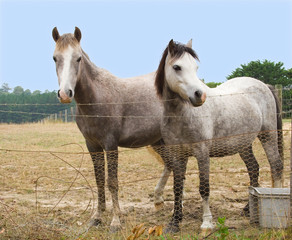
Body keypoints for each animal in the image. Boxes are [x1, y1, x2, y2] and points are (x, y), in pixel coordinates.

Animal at [51, 26, 172, 231]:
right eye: (55, 58)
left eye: (78, 58)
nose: (65, 94)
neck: (96, 98)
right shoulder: (93, 146)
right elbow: (99, 180)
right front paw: (97, 217)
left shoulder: (110, 145)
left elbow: (112, 182)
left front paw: (115, 221)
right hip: (158, 141)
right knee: (170, 165)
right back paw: (158, 201)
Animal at [155, 39, 282, 232]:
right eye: (177, 67)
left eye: (195, 67)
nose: (200, 95)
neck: (183, 115)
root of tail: (264, 85)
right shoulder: (178, 155)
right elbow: (177, 187)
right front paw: (174, 223)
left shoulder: (202, 153)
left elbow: (204, 187)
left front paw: (207, 223)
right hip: (243, 144)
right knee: (253, 168)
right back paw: (248, 209)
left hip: (268, 136)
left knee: (276, 166)